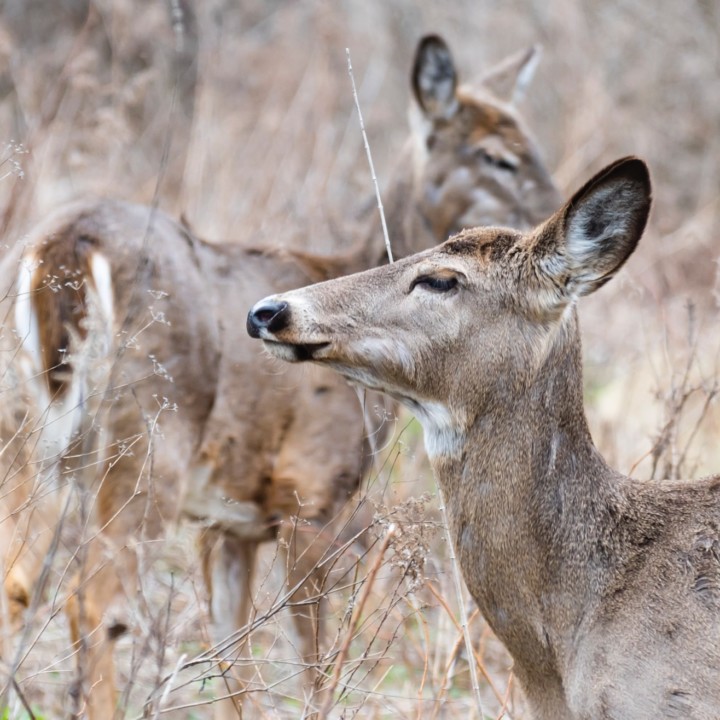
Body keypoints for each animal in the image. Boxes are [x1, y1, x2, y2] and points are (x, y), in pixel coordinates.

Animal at [0, 35, 560, 718]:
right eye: (495, 155)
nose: (549, 214)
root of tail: (62, 250)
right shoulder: (309, 495)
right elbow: (314, 664)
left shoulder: (227, 524)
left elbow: (233, 662)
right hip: (146, 444)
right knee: (94, 602)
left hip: (24, 433)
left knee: (18, 584)